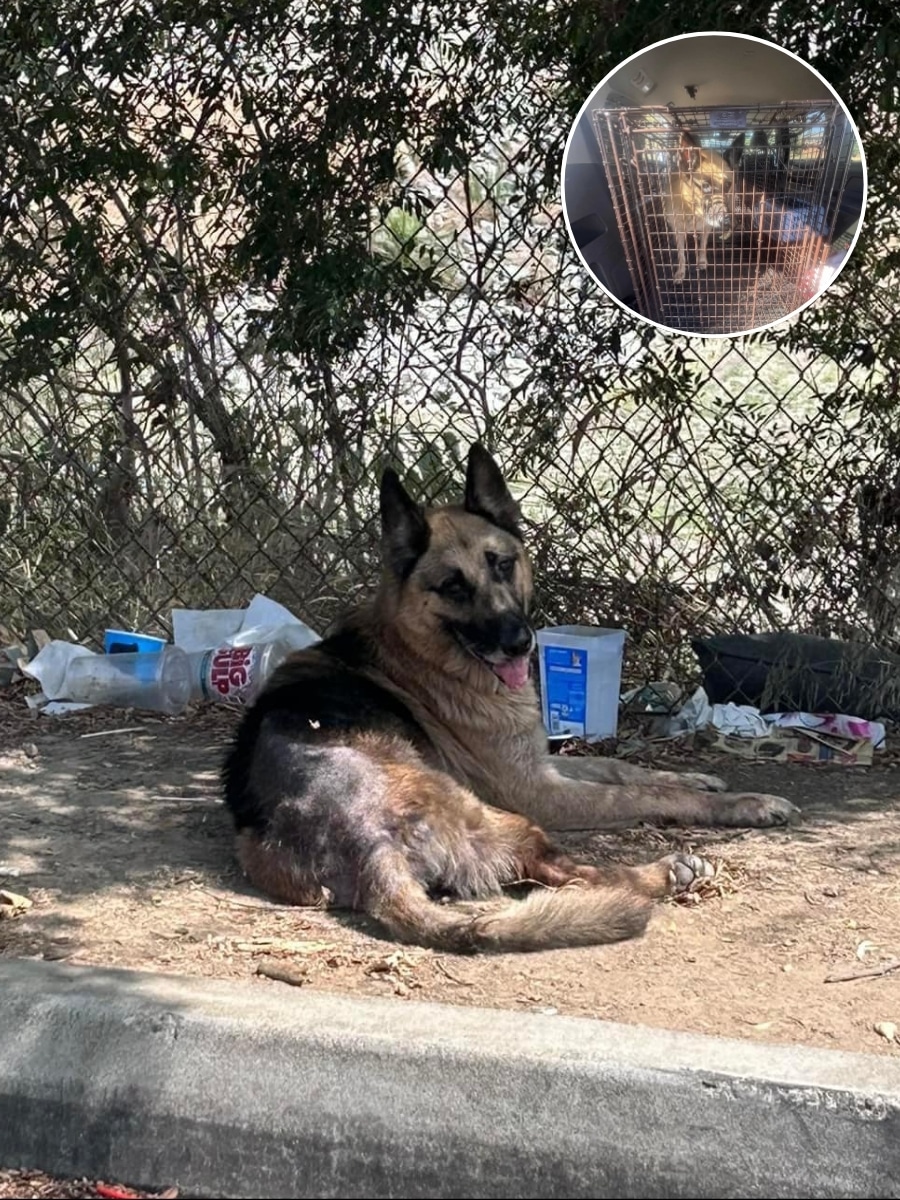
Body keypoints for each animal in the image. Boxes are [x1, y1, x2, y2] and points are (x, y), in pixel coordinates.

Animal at [222, 445, 798, 953]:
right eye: (453, 587)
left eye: (502, 564)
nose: (520, 642)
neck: (422, 650)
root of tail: (366, 844)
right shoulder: (535, 791)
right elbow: (645, 796)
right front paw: (740, 803)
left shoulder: (538, 763)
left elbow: (622, 768)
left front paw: (695, 777)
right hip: (511, 819)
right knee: (579, 873)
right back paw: (666, 871)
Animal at [662, 133, 735, 283]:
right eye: (705, 186)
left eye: (728, 185)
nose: (727, 222)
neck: (693, 210)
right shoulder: (679, 231)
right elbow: (681, 254)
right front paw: (681, 271)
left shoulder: (706, 228)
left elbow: (702, 246)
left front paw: (701, 261)